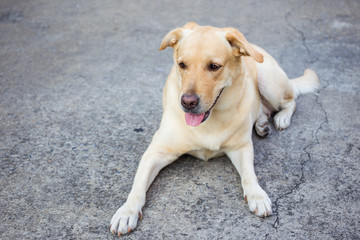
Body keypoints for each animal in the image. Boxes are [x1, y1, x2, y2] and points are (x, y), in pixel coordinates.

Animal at [108, 22, 320, 234]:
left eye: (214, 66)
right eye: (182, 65)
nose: (187, 102)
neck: (208, 122)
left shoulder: (241, 148)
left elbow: (249, 175)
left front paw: (257, 195)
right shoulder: (156, 151)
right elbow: (137, 186)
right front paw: (127, 211)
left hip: (268, 82)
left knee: (291, 101)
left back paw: (281, 118)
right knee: (265, 108)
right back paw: (261, 124)